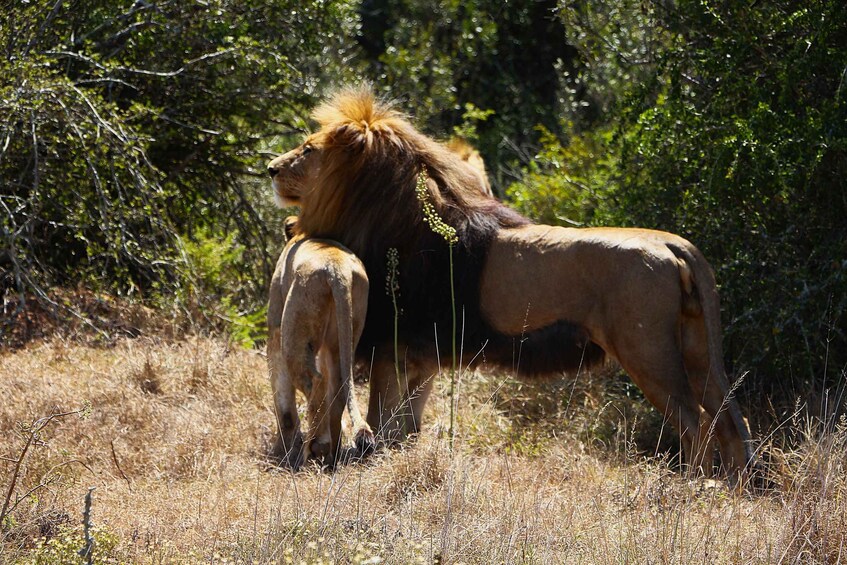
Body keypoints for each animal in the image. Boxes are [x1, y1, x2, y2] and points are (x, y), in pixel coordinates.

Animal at [267, 232, 375, 468]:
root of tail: (338, 270)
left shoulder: (276, 328)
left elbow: (284, 404)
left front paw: (280, 452)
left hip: (295, 334)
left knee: (315, 382)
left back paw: (318, 447)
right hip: (346, 331)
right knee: (337, 387)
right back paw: (330, 454)